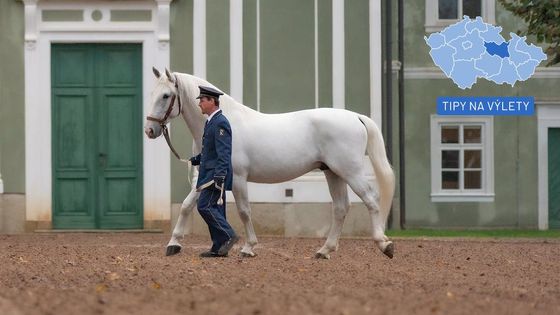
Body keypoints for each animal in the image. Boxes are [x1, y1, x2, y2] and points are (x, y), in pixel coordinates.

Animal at [147, 68, 396, 260]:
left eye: (166, 96)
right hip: (333, 173)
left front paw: (248, 248)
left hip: (350, 172)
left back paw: (384, 244)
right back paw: (324, 250)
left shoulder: (238, 178)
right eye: (153, 93)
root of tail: (356, 117)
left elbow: (244, 211)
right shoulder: (207, 177)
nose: (150, 130)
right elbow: (187, 206)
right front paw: (173, 244)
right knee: (341, 207)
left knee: (371, 199)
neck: (225, 122)